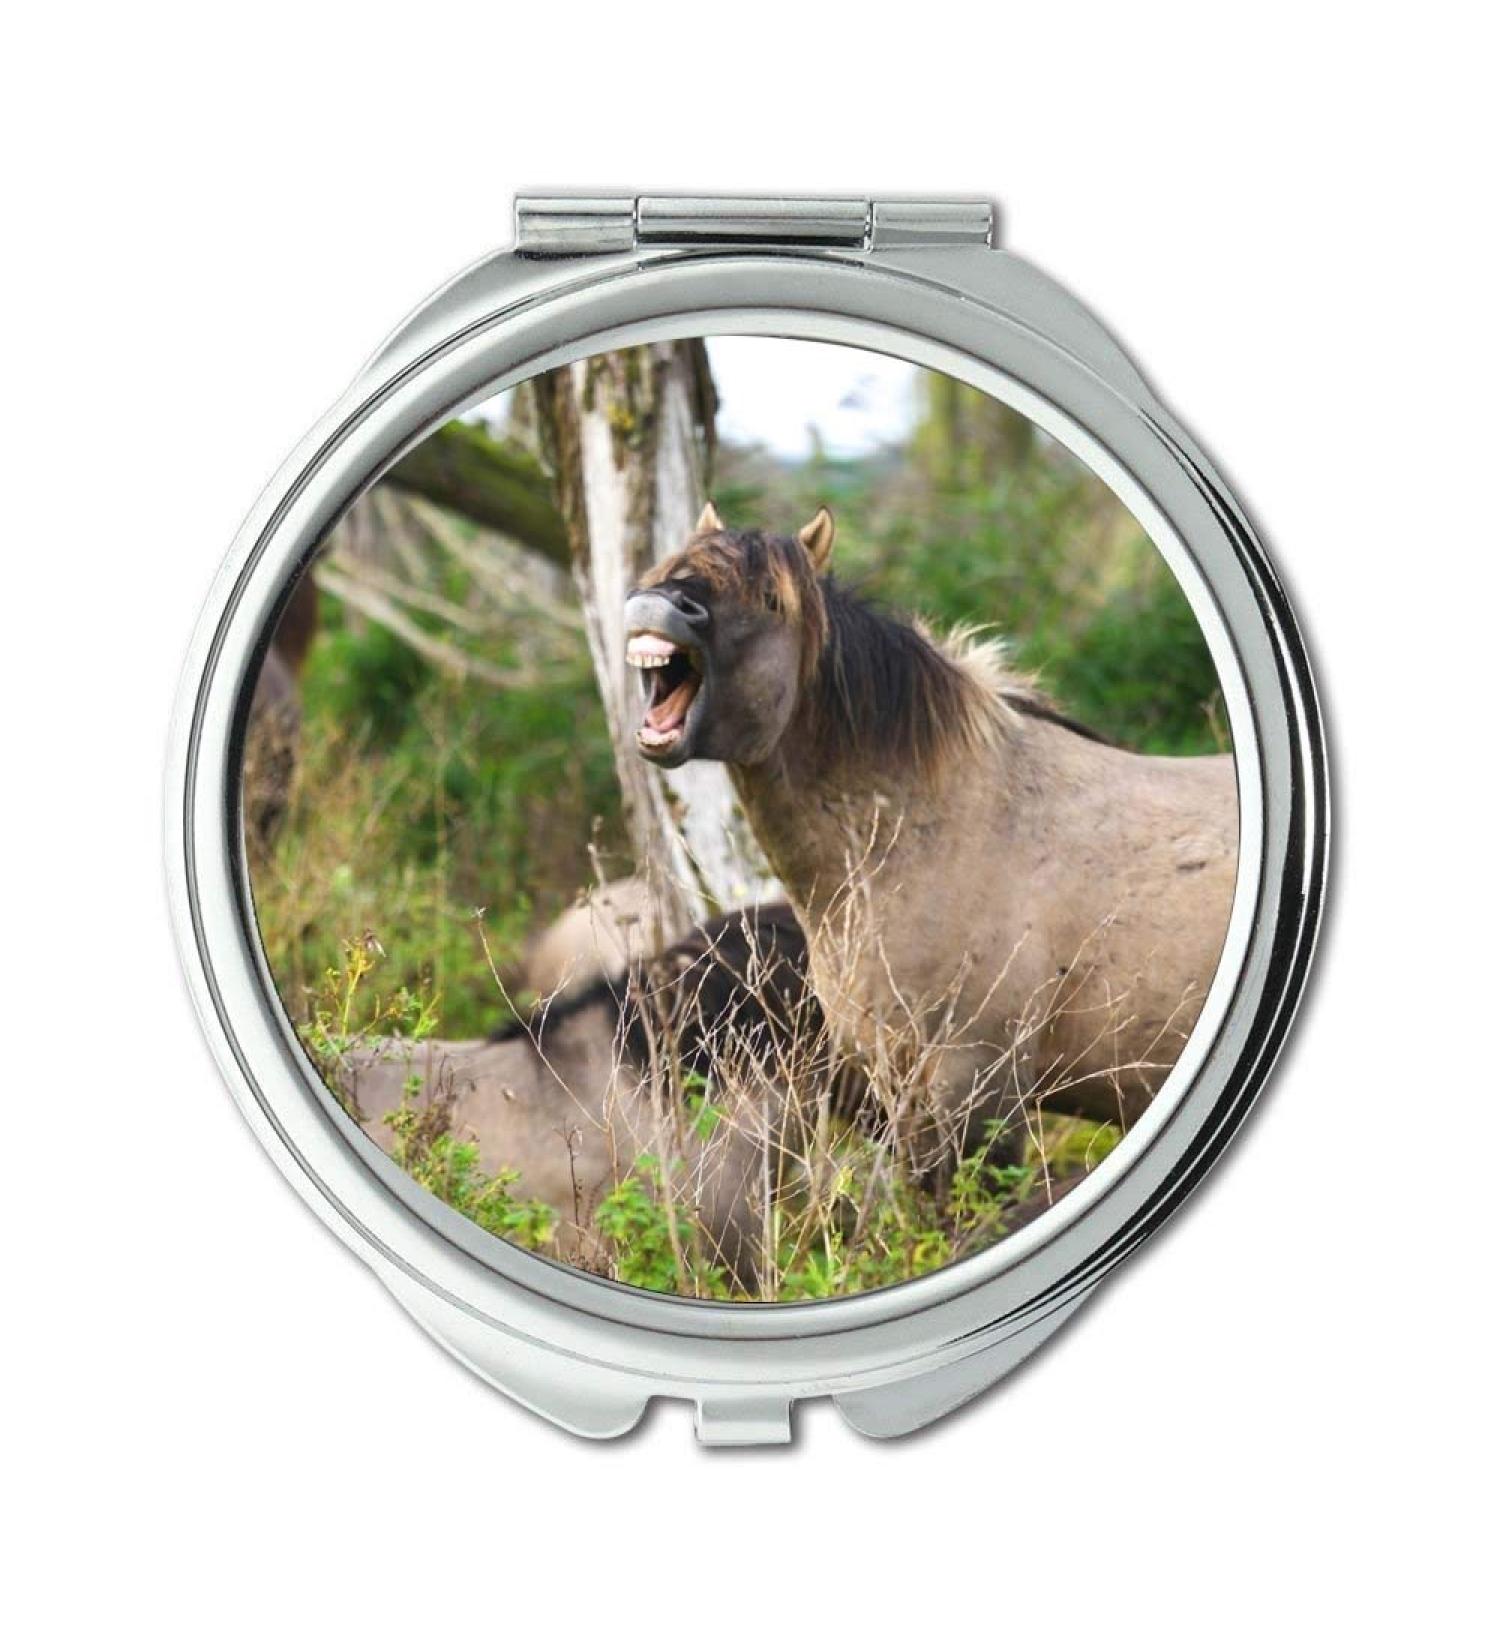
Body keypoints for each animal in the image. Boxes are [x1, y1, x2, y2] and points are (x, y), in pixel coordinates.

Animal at [623, 503, 1237, 1178]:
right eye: (669, 567)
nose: (661, 604)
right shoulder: (898, 1090)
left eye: (770, 598)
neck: (928, 834)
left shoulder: (976, 1094)